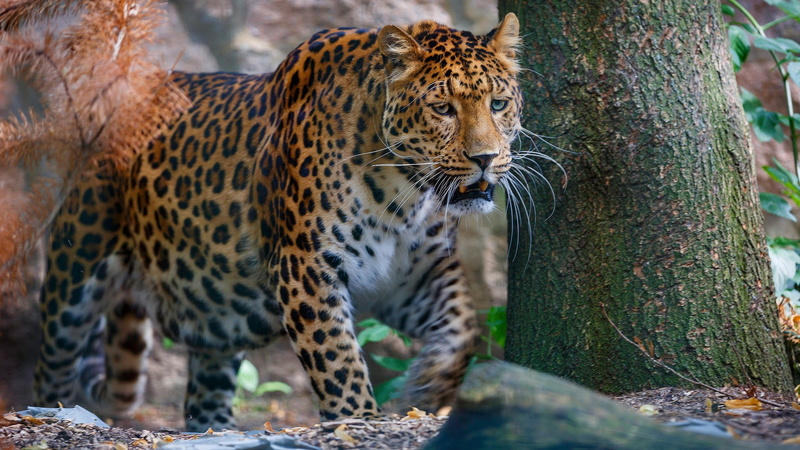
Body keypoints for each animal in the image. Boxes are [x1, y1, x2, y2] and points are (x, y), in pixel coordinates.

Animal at [34, 12, 526, 431]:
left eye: (499, 104)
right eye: (442, 109)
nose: (485, 159)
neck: (404, 194)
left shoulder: (416, 275)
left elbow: (463, 326)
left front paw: (427, 389)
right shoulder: (306, 267)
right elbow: (337, 359)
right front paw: (360, 419)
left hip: (217, 310)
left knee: (204, 392)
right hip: (76, 269)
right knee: (55, 360)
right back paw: (55, 412)